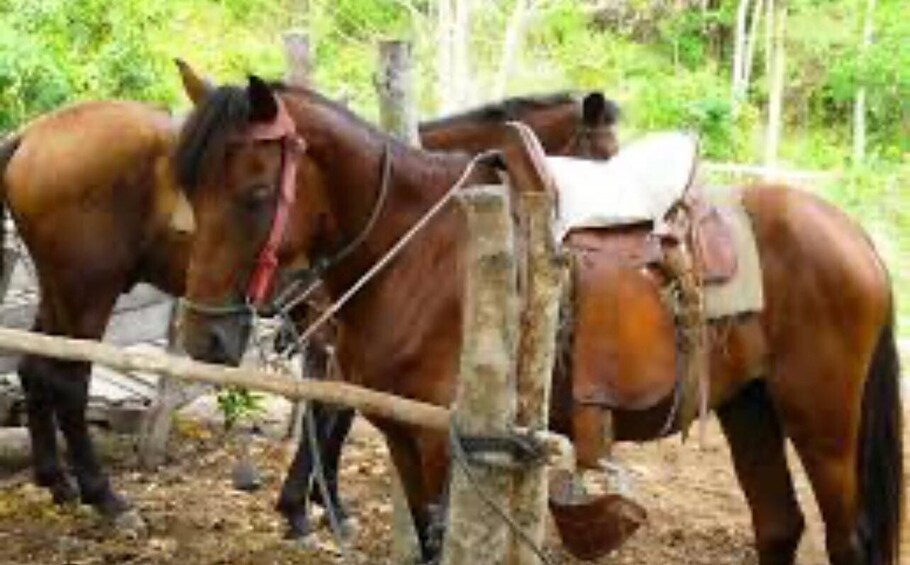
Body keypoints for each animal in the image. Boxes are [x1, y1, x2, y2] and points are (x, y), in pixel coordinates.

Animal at [0, 77, 620, 532]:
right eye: (604, 152)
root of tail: (32, 134)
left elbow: (335, 412)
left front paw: (318, 502)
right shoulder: (329, 332)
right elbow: (332, 414)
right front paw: (309, 507)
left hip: (58, 288)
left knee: (34, 366)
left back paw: (56, 481)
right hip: (88, 290)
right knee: (68, 380)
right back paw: (105, 498)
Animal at [178, 76, 904, 564]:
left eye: (255, 194)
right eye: (187, 190)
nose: (203, 336)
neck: (421, 247)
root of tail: (857, 236)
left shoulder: (447, 442)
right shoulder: (403, 434)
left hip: (821, 420)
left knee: (847, 536)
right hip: (750, 404)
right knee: (778, 524)